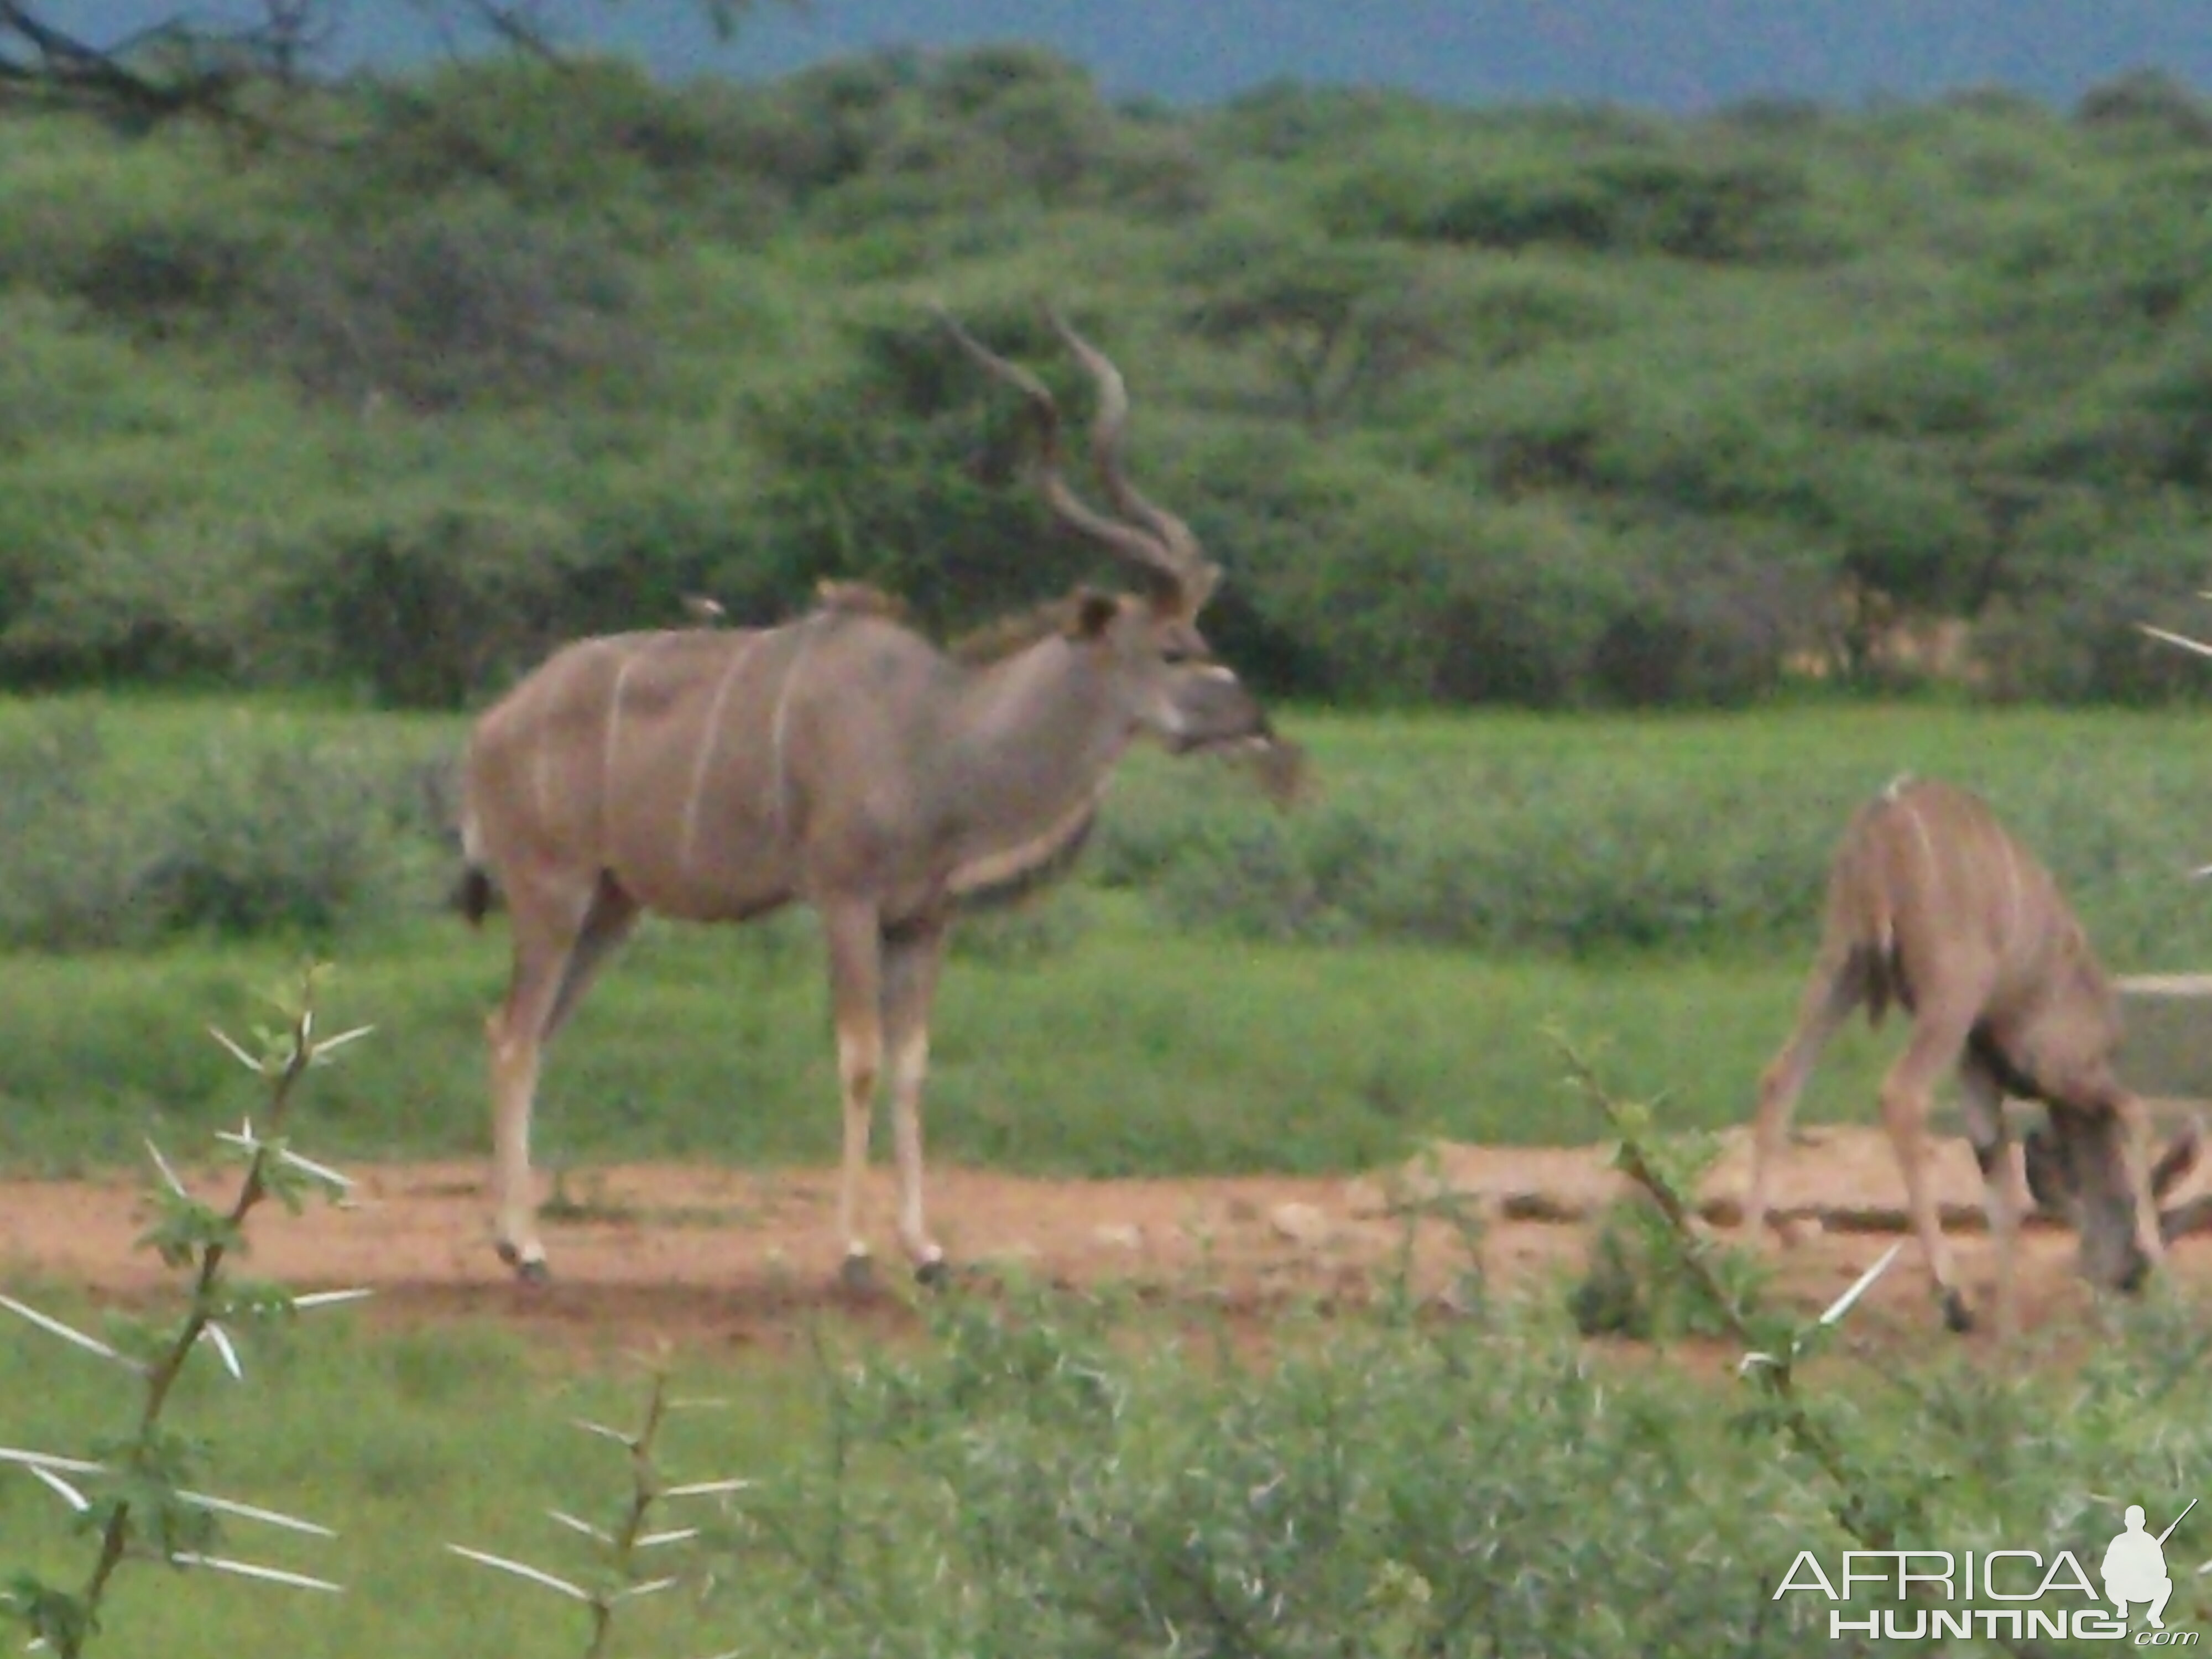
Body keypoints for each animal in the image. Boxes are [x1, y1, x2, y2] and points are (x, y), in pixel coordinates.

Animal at [460, 314, 1301, 1301]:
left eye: (1201, 633)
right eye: (1172, 649)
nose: (1254, 720)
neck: (938, 733)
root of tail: (490, 728)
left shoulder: (923, 922)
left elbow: (910, 1069)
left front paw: (928, 1252)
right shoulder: (846, 902)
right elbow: (860, 1061)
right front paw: (856, 1254)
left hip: (611, 908)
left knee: (525, 1031)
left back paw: (513, 1239)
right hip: (551, 893)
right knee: (515, 1036)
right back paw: (528, 1251)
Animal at [1743, 779, 2194, 1336]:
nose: (2124, 1283)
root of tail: (1881, 824)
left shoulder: (1977, 1069)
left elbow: (1997, 1180)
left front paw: (2010, 1327)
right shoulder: (2061, 1069)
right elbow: (2133, 1113)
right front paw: (2172, 1290)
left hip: (1841, 963)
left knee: (1780, 1077)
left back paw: (1742, 1268)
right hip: (1951, 992)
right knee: (1901, 1095)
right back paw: (1952, 1296)